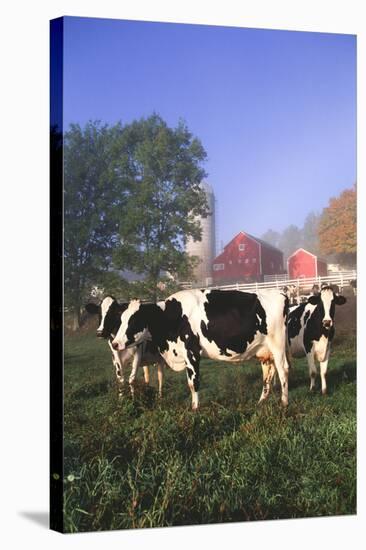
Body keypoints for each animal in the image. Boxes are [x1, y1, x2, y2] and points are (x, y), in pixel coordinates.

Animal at [110, 288, 290, 410]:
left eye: (133, 321)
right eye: (121, 319)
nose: (115, 343)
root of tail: (280, 294)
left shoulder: (191, 353)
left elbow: (193, 383)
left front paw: (195, 408)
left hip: (278, 346)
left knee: (283, 371)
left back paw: (284, 402)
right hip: (265, 351)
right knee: (268, 374)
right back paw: (261, 402)